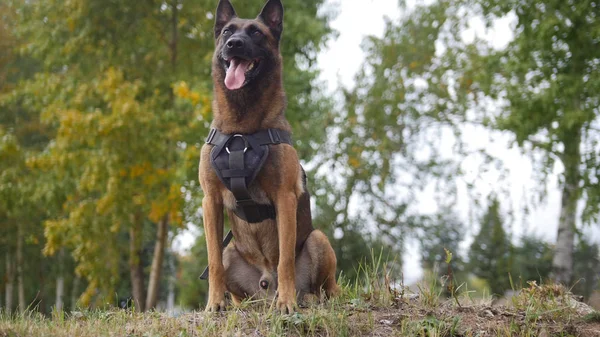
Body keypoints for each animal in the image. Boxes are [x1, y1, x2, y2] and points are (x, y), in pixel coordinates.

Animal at [199, 0, 340, 312]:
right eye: (227, 31)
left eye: (256, 32)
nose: (234, 44)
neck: (241, 127)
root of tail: (265, 286)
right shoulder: (210, 200)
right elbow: (213, 262)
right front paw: (214, 303)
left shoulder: (284, 197)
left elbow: (285, 259)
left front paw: (287, 303)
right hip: (232, 253)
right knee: (231, 276)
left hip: (318, 239)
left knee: (327, 289)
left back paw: (301, 297)